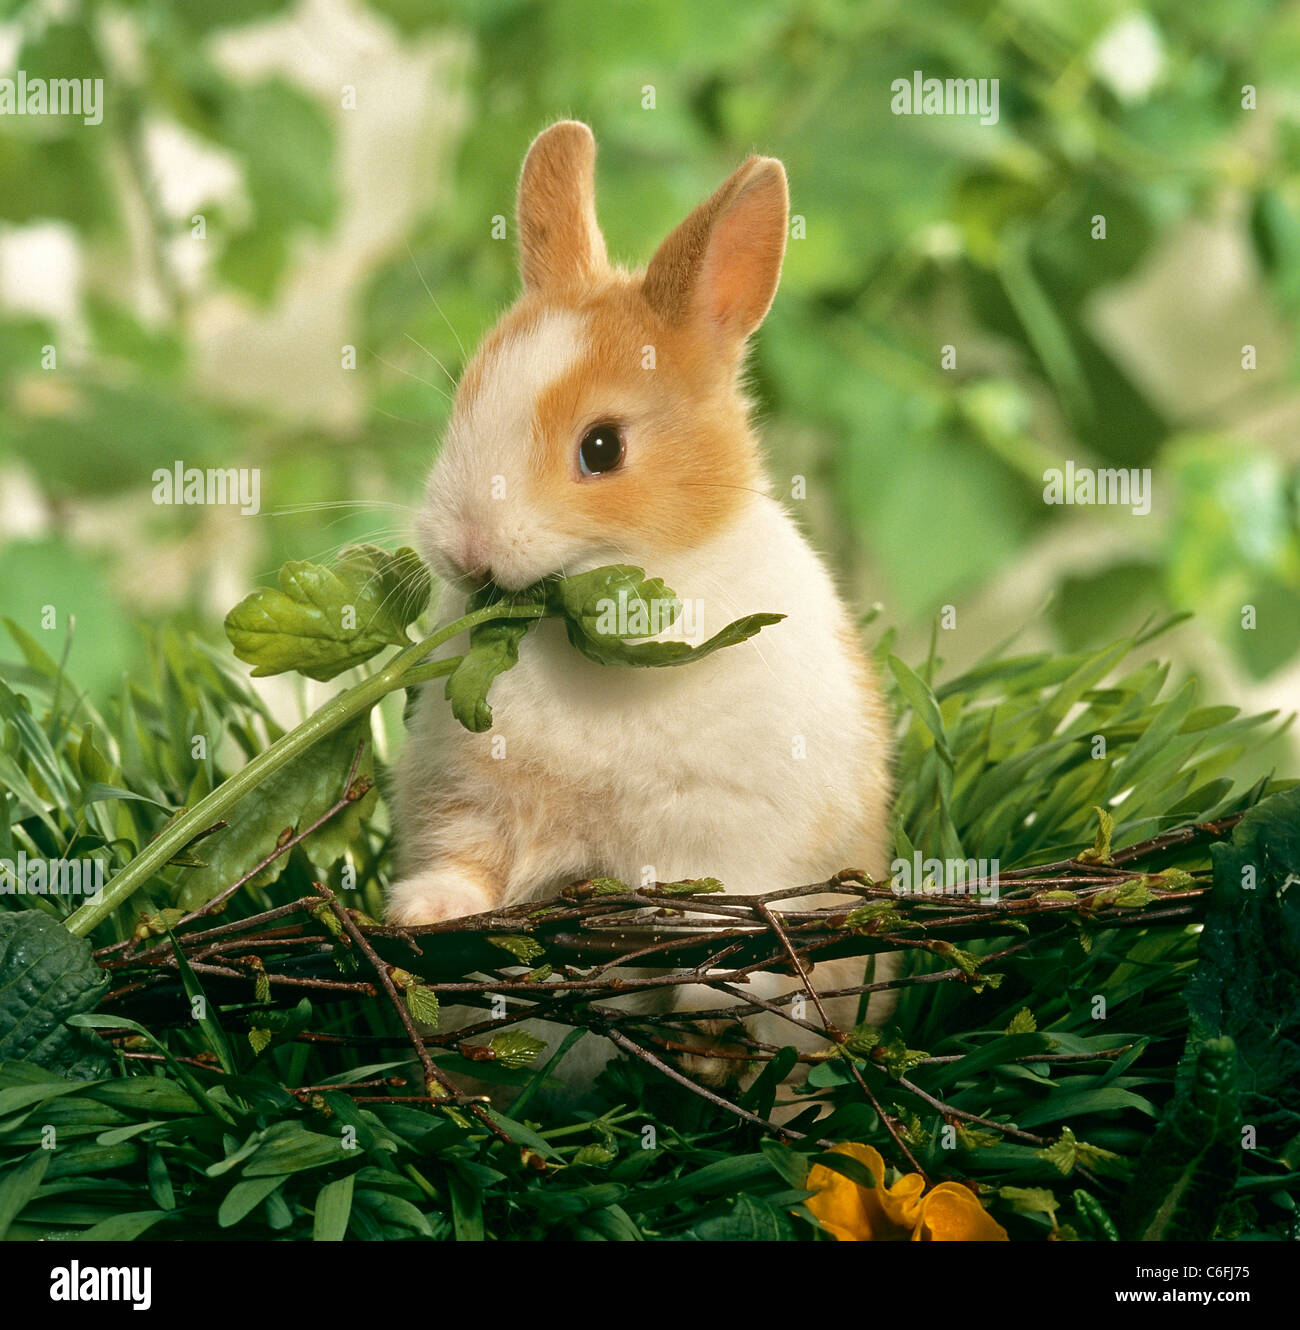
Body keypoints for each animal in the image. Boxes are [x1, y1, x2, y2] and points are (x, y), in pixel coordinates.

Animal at [385, 119, 894, 1085]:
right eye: (465, 400)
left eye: (602, 448)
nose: (463, 548)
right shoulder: (467, 802)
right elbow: (466, 865)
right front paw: (421, 912)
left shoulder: (724, 838)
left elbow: (712, 913)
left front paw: (702, 990)